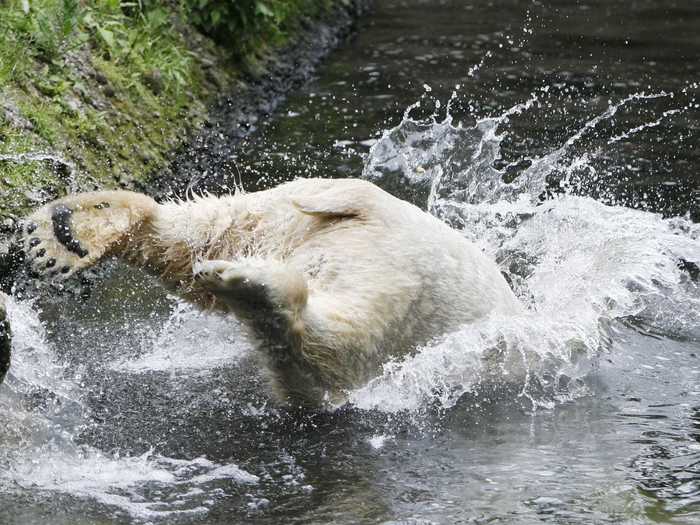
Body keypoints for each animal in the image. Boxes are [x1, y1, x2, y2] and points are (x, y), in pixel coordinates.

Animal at [19, 177, 524, 406]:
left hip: (400, 296)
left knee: (335, 343)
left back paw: (249, 289)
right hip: (339, 233)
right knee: (225, 230)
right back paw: (67, 233)